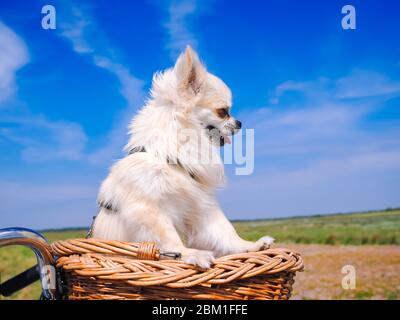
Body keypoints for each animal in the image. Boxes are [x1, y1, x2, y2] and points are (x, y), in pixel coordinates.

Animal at [92, 45, 274, 268]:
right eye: (223, 111)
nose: (240, 122)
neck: (170, 160)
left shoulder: (201, 207)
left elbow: (225, 232)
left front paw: (250, 246)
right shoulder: (149, 211)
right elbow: (168, 240)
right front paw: (190, 254)